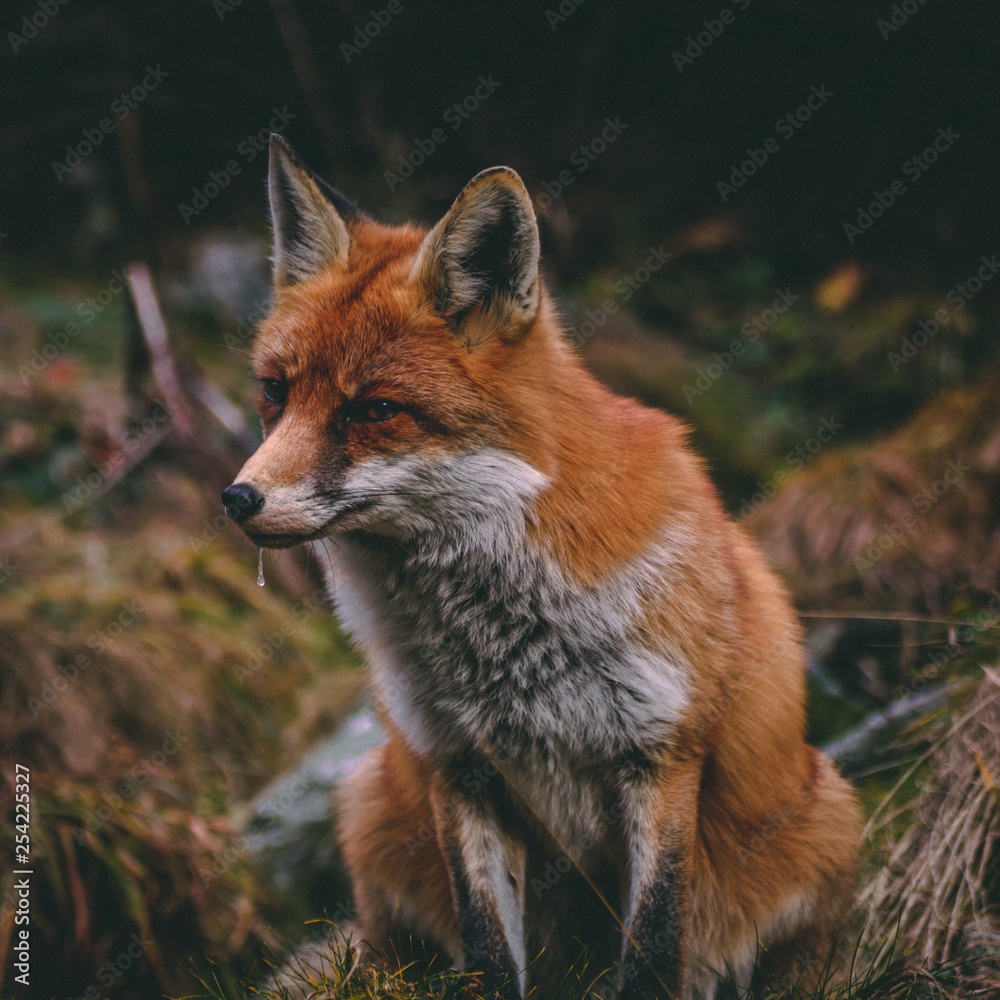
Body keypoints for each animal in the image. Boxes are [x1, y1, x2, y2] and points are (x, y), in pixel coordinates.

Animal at [222, 134, 861, 1000]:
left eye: (373, 410)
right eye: (273, 392)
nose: (237, 498)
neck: (503, 642)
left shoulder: (661, 755)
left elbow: (653, 949)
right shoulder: (457, 767)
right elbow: (489, 955)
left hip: (827, 814)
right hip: (367, 802)